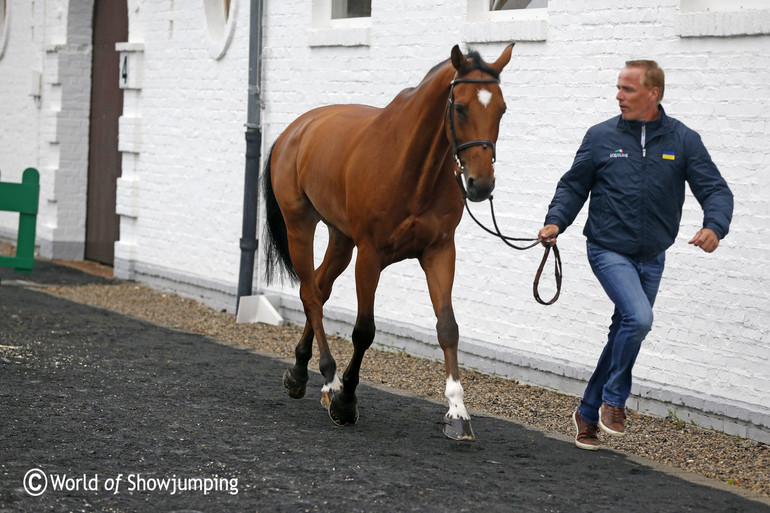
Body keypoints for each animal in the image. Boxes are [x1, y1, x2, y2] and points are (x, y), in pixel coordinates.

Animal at [260, 43, 512, 440]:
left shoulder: (440, 252)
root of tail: (296, 129)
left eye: (501, 109)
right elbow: (364, 330)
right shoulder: (370, 255)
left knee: (318, 288)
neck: (411, 167)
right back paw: (328, 379)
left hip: (341, 238)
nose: (480, 184)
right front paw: (346, 400)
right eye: (460, 107)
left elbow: (448, 327)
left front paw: (457, 412)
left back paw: (299, 372)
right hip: (301, 226)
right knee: (311, 294)